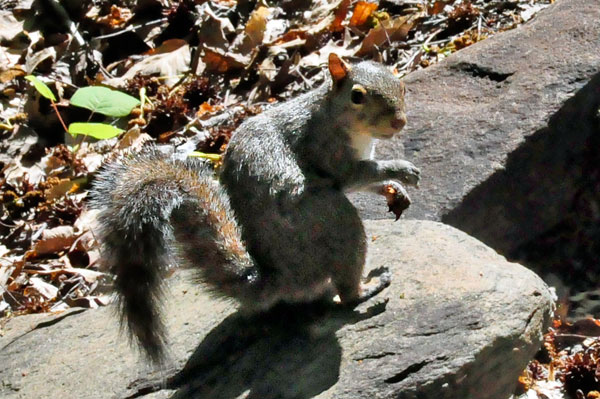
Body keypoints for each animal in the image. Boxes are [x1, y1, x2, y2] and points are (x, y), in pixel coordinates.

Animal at [91, 53, 420, 362]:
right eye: (357, 96)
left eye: (402, 86)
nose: (399, 123)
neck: (334, 116)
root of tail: (283, 278)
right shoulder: (327, 152)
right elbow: (356, 176)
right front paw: (401, 170)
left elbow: (367, 181)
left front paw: (395, 190)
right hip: (332, 221)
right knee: (347, 287)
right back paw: (368, 287)